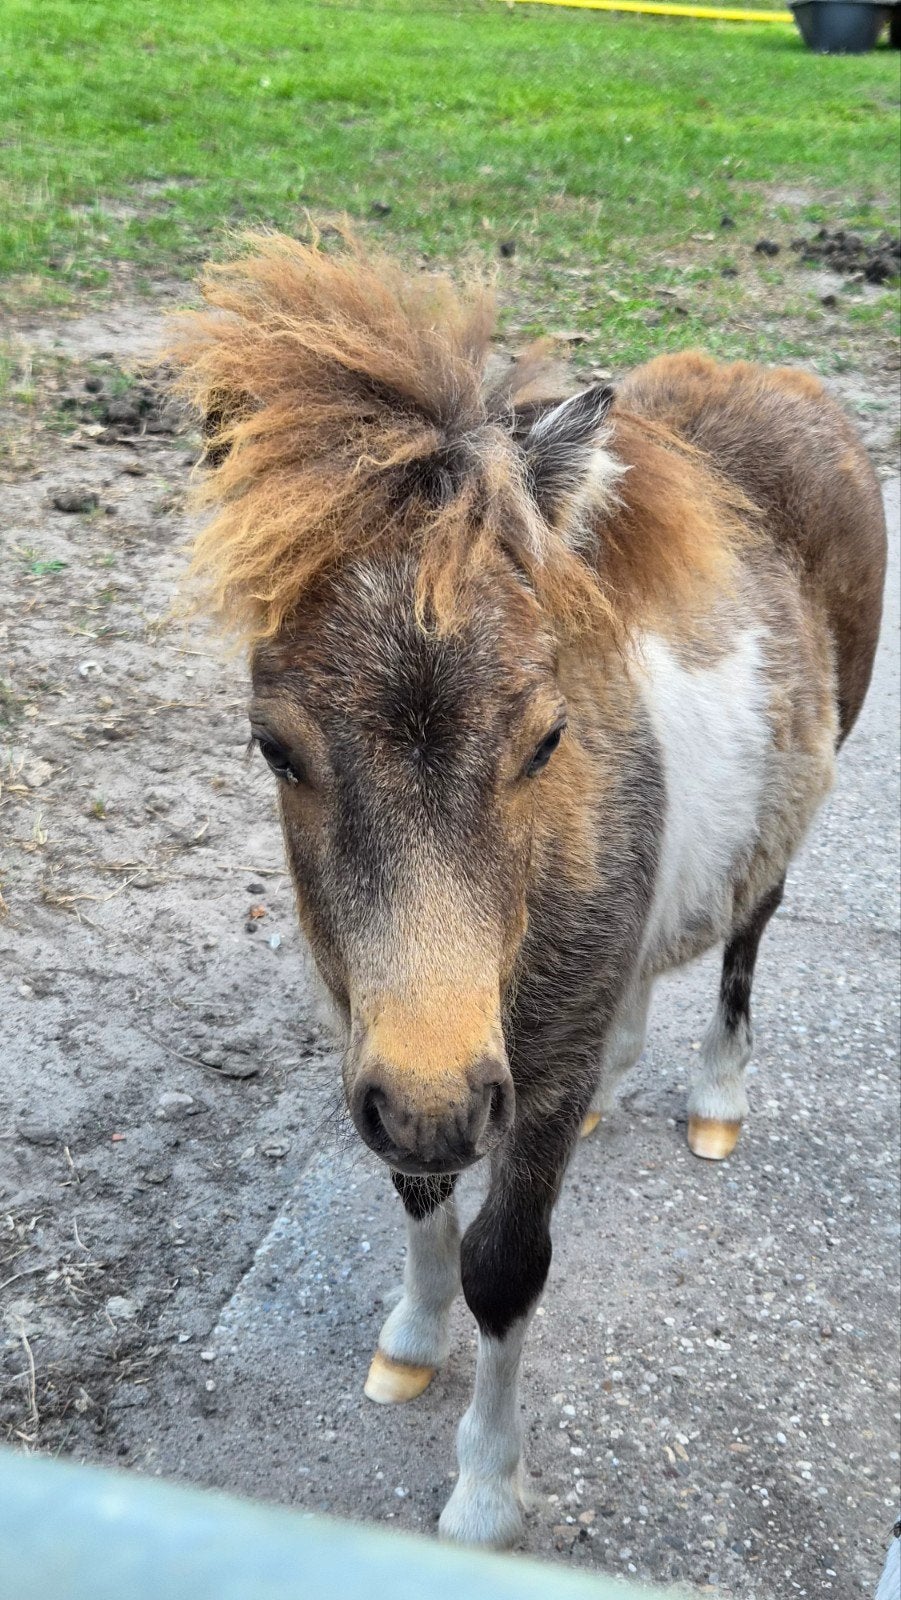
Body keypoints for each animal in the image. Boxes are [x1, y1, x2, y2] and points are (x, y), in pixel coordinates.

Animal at [167, 230, 887, 1548]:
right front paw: (408, 1336)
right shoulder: (387, 1046)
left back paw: (715, 1096)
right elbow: (416, 1193)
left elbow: (506, 1268)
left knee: (746, 937)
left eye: (548, 737)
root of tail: (785, 381)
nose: (439, 1100)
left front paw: (488, 1493)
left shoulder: (517, 1080)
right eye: (274, 747)